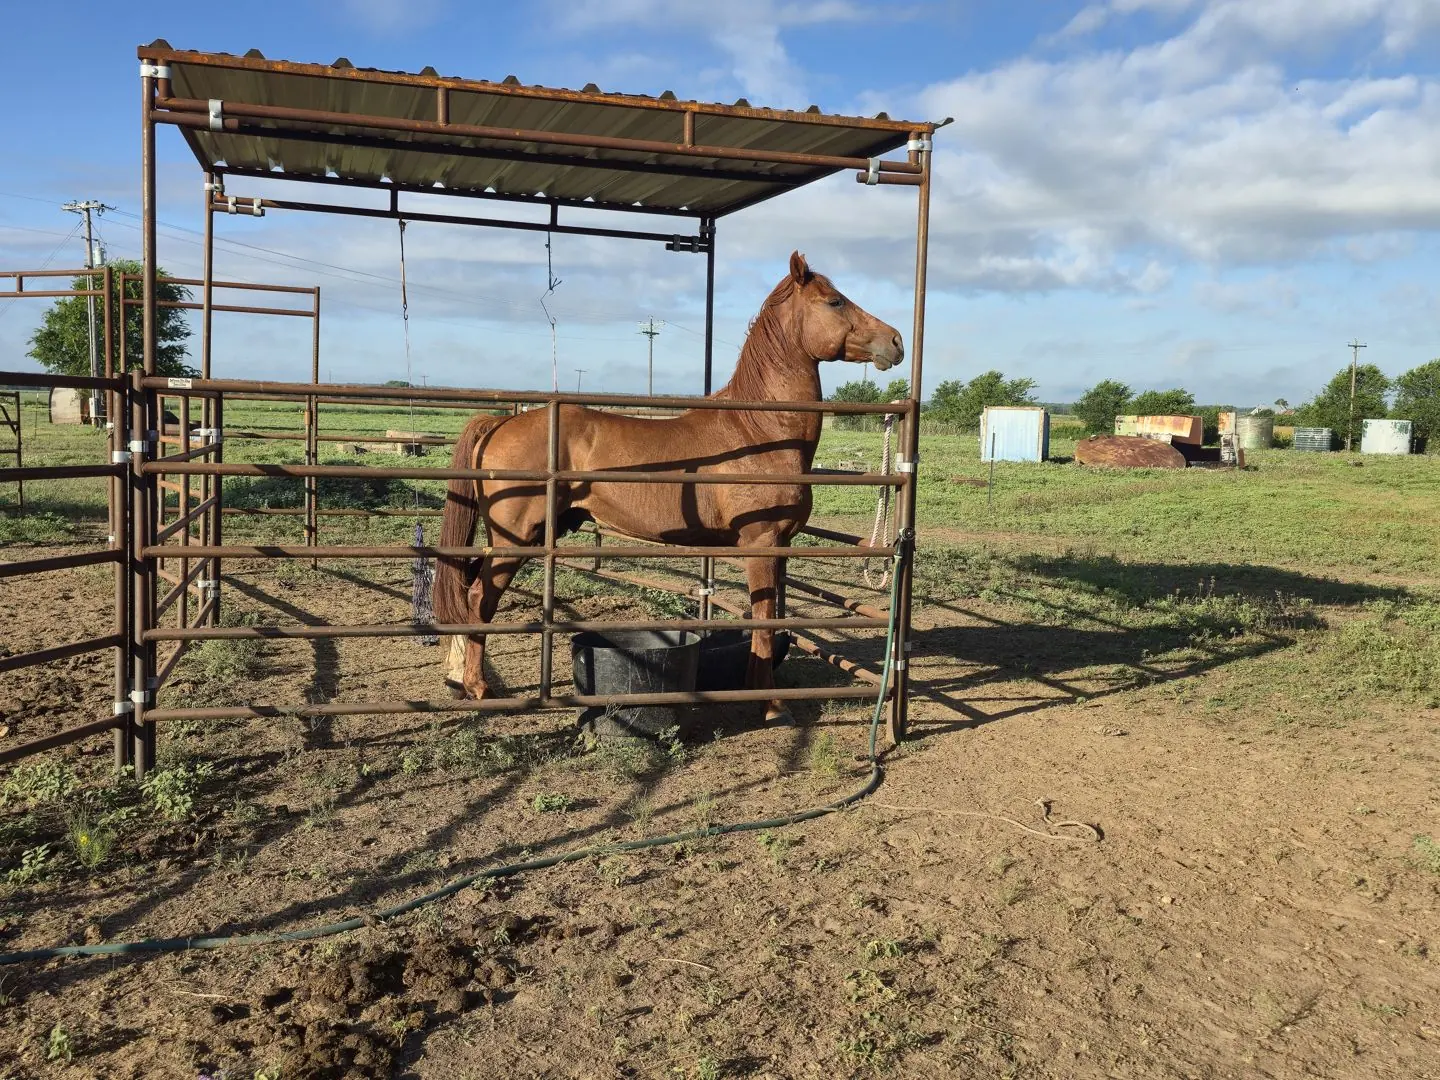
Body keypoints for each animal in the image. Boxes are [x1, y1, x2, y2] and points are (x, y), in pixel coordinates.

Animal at [433, 251, 903, 724]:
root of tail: (500, 423)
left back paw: (459, 678)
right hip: (513, 540)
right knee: (479, 599)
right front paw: (772, 707)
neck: (761, 429)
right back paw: (478, 687)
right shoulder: (760, 543)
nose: (897, 341)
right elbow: (764, 622)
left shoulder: (780, 544)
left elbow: (769, 622)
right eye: (835, 301)